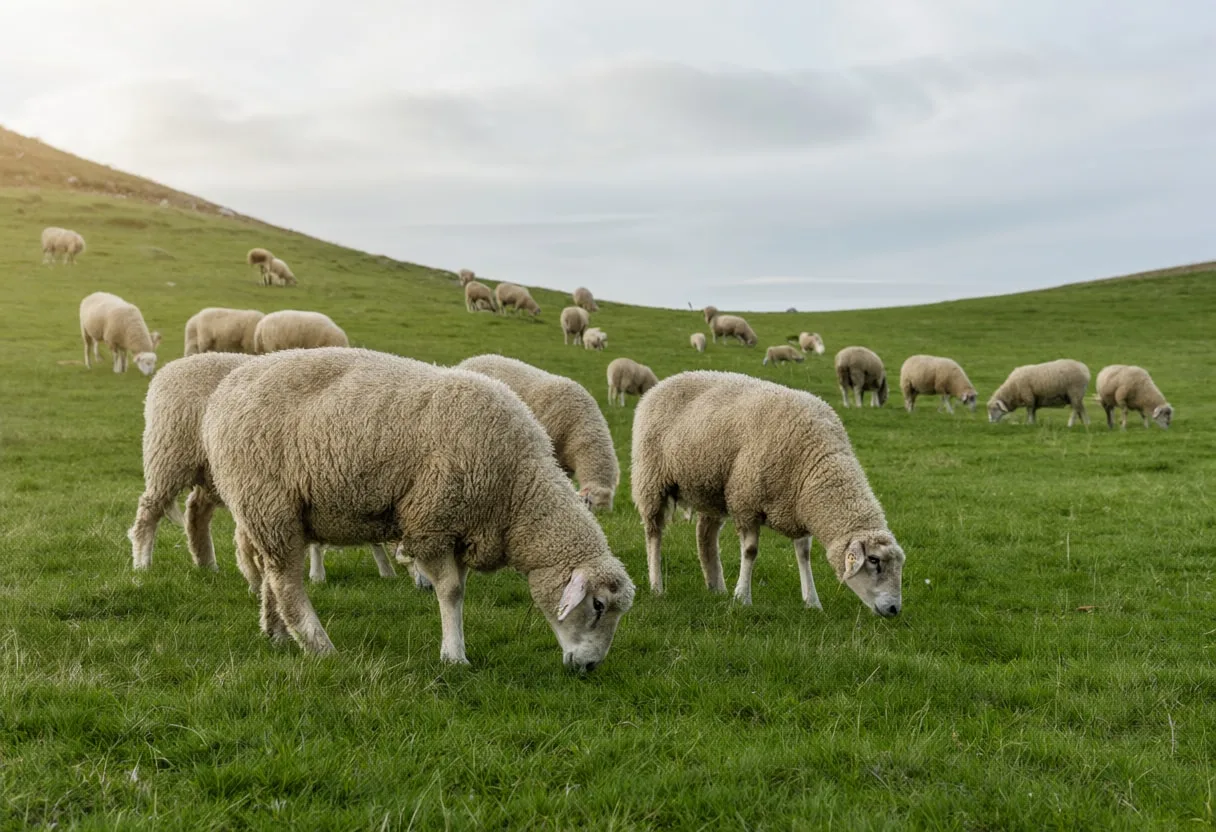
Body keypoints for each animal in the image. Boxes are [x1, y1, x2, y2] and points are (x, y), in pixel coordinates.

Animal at [128, 352, 395, 582]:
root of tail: (170, 368)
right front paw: (317, 575)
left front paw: (386, 571)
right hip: (170, 456)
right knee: (150, 509)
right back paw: (142, 563)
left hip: (211, 471)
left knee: (197, 512)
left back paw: (207, 564)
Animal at [631, 371, 905, 615]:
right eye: (874, 560)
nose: (894, 609)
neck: (815, 462)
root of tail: (663, 383)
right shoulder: (746, 501)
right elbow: (750, 551)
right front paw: (742, 597)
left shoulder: (796, 506)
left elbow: (804, 555)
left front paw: (812, 602)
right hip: (651, 479)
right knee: (654, 533)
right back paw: (657, 585)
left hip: (711, 485)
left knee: (705, 535)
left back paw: (716, 587)